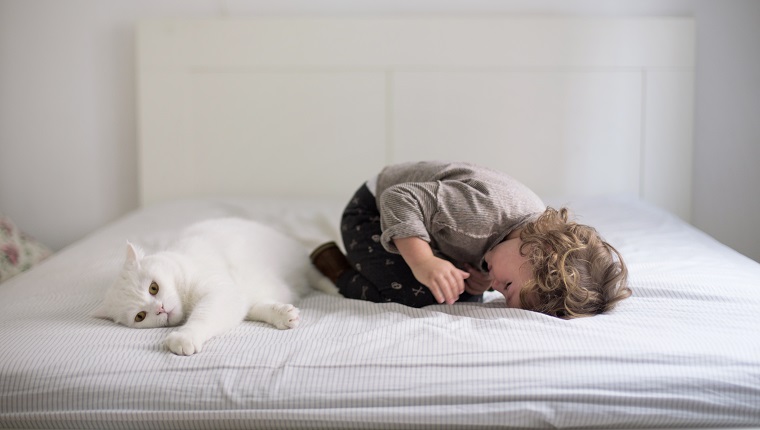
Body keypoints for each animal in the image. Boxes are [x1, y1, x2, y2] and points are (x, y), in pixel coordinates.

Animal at [93, 218, 336, 356]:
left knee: (314, 274)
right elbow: (257, 308)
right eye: (140, 316)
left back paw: (334, 288)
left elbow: (202, 317)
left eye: (154, 288)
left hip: (299, 262)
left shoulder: (220, 293)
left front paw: (185, 337)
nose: (160, 309)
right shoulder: (237, 298)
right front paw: (283, 314)